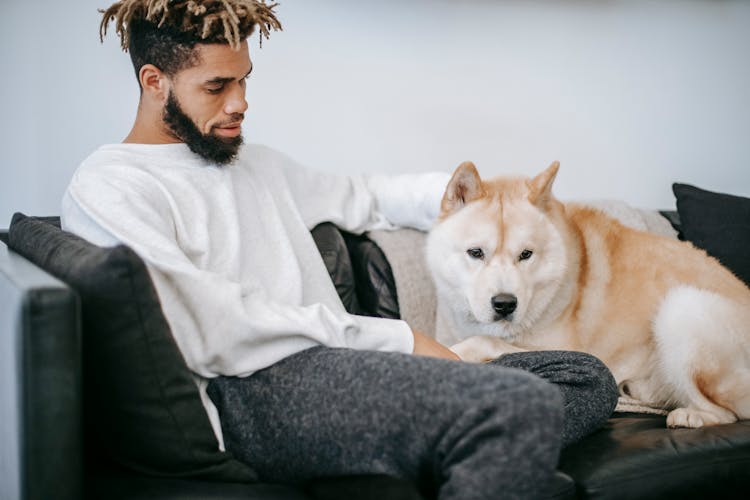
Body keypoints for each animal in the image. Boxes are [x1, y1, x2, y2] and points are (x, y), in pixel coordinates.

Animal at [426, 162, 750, 428]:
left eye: (526, 255)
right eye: (475, 253)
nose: (505, 304)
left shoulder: (567, 348)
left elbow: (482, 341)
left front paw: (457, 352)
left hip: (682, 307)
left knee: (729, 413)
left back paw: (690, 416)